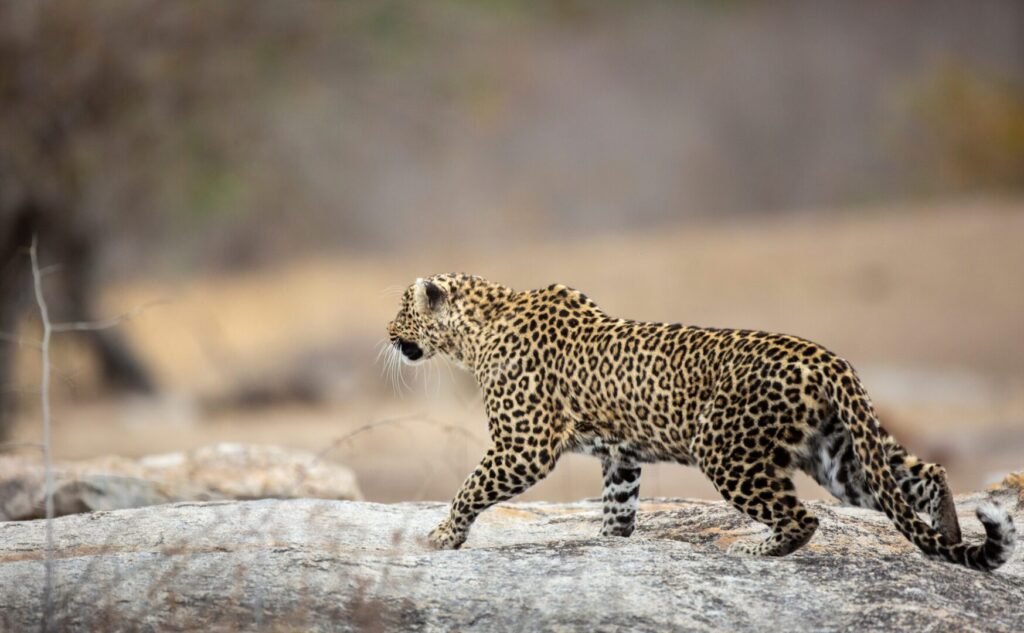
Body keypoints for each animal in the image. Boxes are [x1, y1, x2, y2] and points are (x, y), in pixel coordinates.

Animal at [385, 273, 1016, 571]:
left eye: (400, 309)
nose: (389, 336)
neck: (476, 333)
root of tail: (828, 357)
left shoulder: (524, 445)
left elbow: (470, 486)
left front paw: (442, 535)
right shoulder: (622, 455)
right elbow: (618, 505)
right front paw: (608, 542)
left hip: (726, 449)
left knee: (803, 518)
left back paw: (757, 552)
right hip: (840, 457)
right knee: (924, 474)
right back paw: (949, 538)